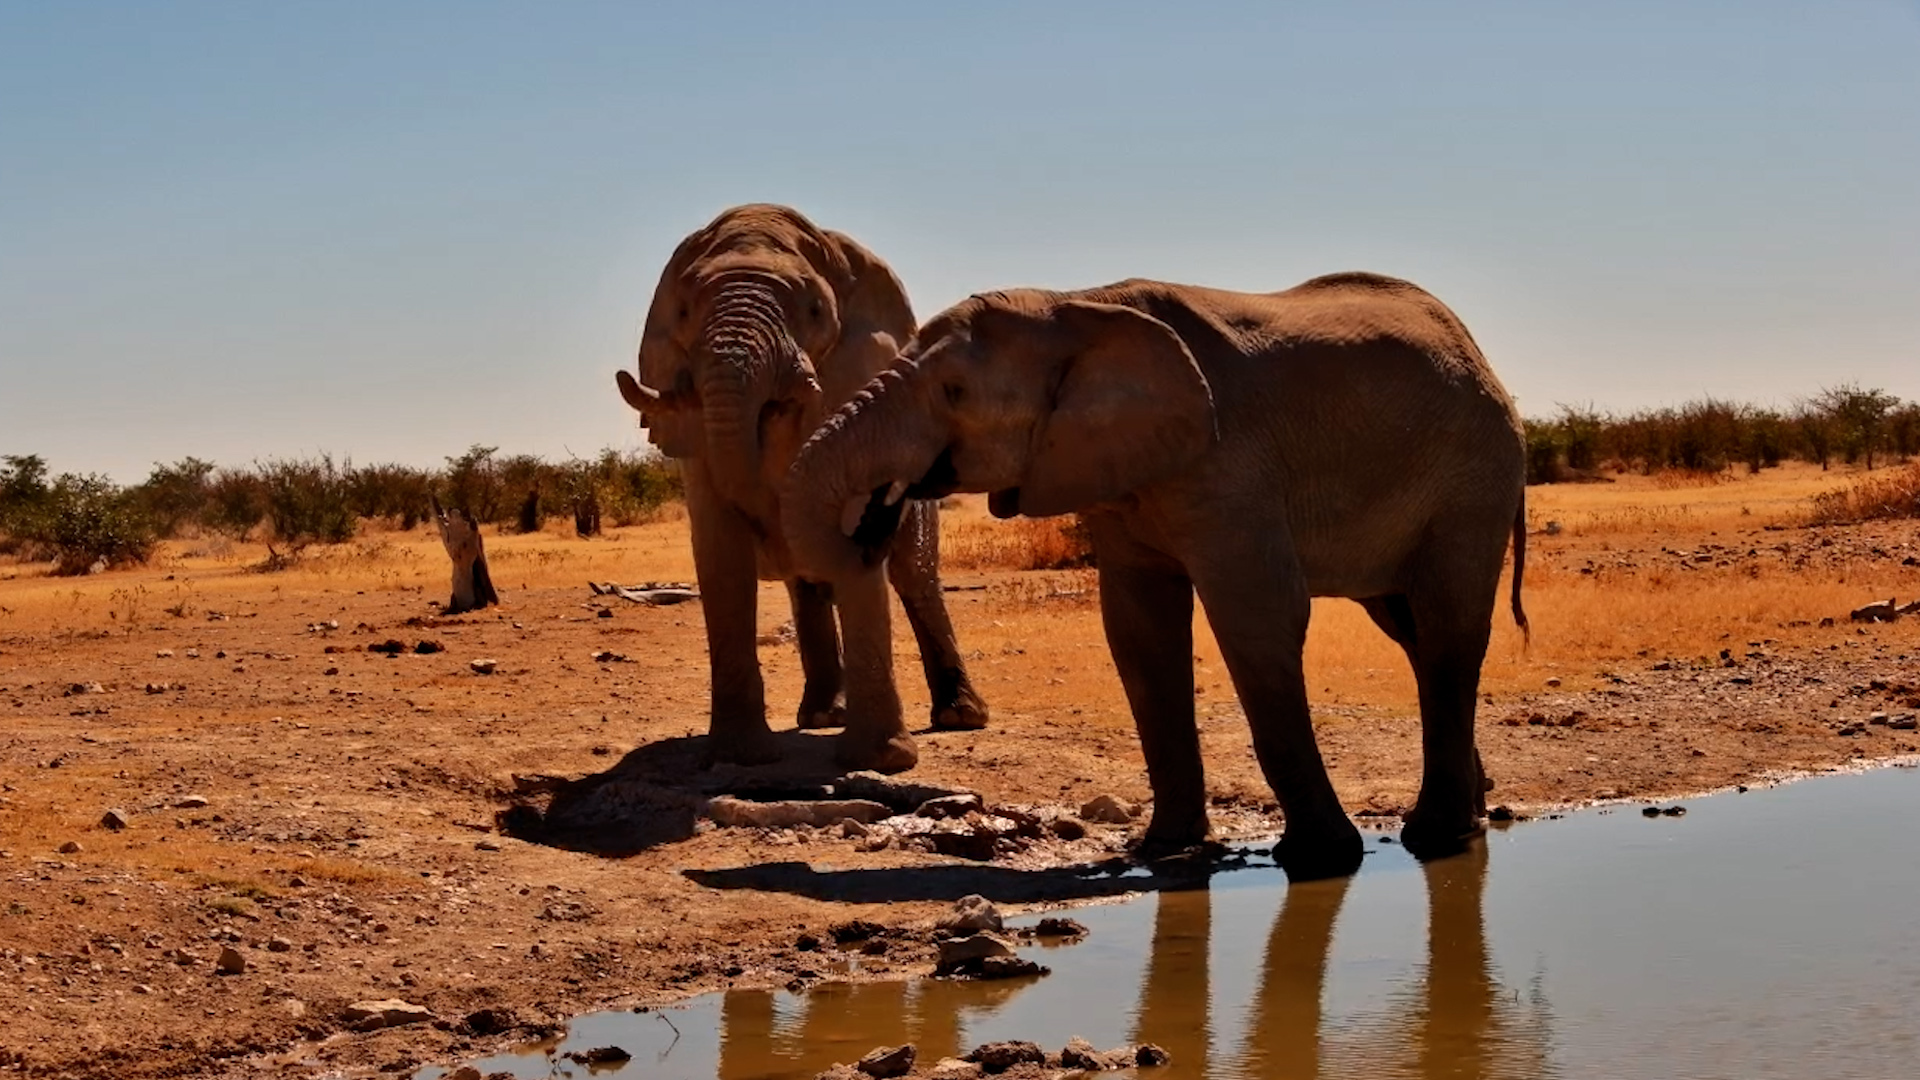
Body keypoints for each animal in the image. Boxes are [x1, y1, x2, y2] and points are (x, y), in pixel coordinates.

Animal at [615, 204, 986, 771]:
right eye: (681, 312)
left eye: (814, 310)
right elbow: (721, 551)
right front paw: (741, 757)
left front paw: (880, 761)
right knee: (806, 586)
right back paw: (820, 717)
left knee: (914, 575)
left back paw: (959, 718)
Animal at [781, 272, 1527, 879]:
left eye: (954, 392)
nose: (876, 514)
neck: (1077, 304)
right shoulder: (1116, 476)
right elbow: (1138, 629)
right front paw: (1165, 850)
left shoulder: (1229, 468)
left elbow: (1256, 615)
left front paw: (1319, 859)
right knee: (1411, 629)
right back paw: (1474, 812)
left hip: (1474, 479)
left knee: (1447, 626)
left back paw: (1439, 837)